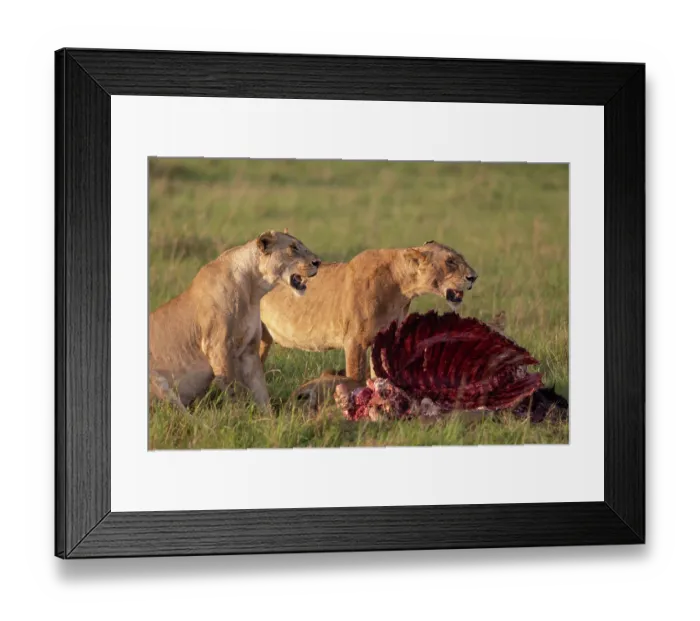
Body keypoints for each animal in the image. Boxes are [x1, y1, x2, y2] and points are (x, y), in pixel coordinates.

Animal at [149, 230, 321, 412]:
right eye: (293, 248)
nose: (318, 262)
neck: (253, 291)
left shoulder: (249, 350)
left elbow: (261, 391)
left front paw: (268, 418)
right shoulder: (217, 347)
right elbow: (232, 390)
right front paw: (237, 414)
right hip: (156, 380)